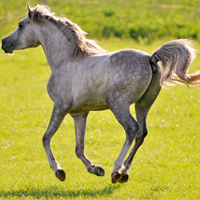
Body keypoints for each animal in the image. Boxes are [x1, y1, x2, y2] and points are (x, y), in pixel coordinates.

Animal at [1, 3, 200, 184]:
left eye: (20, 25)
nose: (4, 42)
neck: (65, 59)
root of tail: (150, 59)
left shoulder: (60, 107)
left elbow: (45, 138)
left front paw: (59, 171)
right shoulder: (79, 114)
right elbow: (78, 148)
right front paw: (95, 169)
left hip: (118, 105)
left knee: (132, 129)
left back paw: (116, 170)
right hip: (142, 105)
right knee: (142, 132)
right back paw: (125, 172)